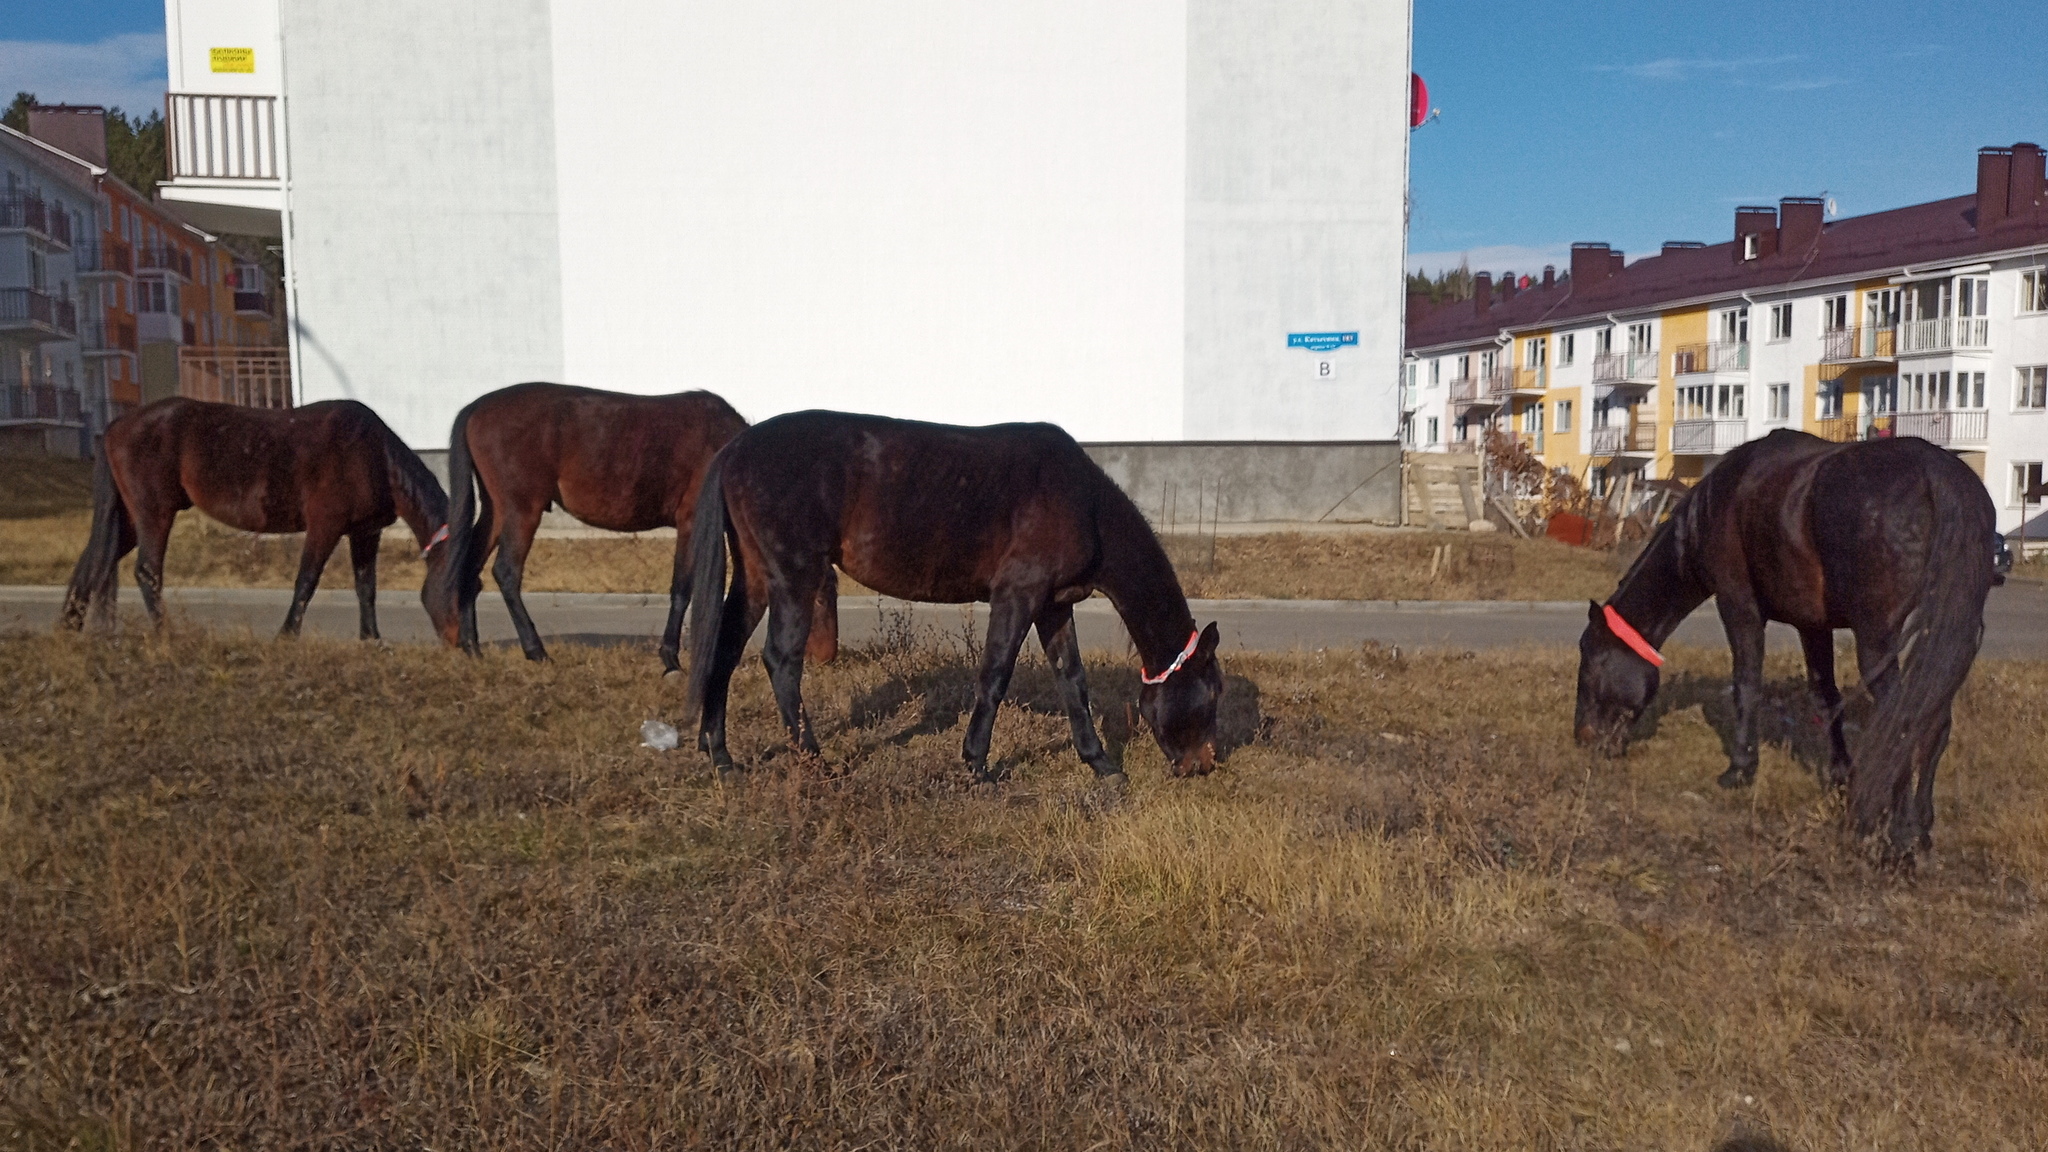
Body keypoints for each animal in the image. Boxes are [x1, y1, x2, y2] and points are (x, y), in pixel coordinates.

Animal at [61, 393, 450, 635]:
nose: (461, 646)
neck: (373, 455)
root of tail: (115, 426)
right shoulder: (325, 526)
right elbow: (306, 582)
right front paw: (286, 635)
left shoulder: (365, 532)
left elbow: (366, 588)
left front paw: (373, 640)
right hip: (153, 512)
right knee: (147, 572)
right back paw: (166, 633)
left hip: (127, 519)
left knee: (91, 563)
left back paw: (69, 628)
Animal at [419, 379, 835, 664]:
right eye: (820, 597)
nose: (827, 656)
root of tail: (477, 406)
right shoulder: (690, 522)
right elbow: (682, 588)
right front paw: (670, 655)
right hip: (522, 509)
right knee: (506, 572)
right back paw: (535, 650)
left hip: (498, 508)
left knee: (470, 567)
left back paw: (473, 648)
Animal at [679, 407, 1220, 783]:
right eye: (1213, 695)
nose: (1204, 765)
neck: (1083, 502)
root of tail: (736, 449)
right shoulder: (1017, 593)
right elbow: (995, 675)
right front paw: (976, 764)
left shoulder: (1054, 603)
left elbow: (1073, 681)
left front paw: (1101, 763)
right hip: (794, 574)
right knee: (781, 661)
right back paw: (815, 761)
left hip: (755, 575)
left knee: (725, 652)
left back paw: (722, 757)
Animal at [1572, 426, 1990, 856]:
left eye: (1589, 663)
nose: (1584, 739)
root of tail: (1937, 473)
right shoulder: (1813, 625)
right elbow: (1825, 697)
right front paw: (1840, 774)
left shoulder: (1738, 605)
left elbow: (1746, 685)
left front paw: (1740, 769)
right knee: (1934, 720)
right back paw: (1921, 827)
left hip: (1875, 642)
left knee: (1903, 719)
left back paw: (1901, 835)